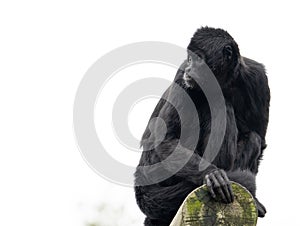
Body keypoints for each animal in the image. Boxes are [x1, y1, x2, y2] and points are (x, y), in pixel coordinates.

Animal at [134, 26, 270, 226]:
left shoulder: (258, 79)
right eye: (190, 59)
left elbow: (261, 139)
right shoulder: (181, 75)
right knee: (217, 103)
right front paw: (211, 173)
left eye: (198, 58)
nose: (190, 67)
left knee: (253, 137)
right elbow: (165, 139)